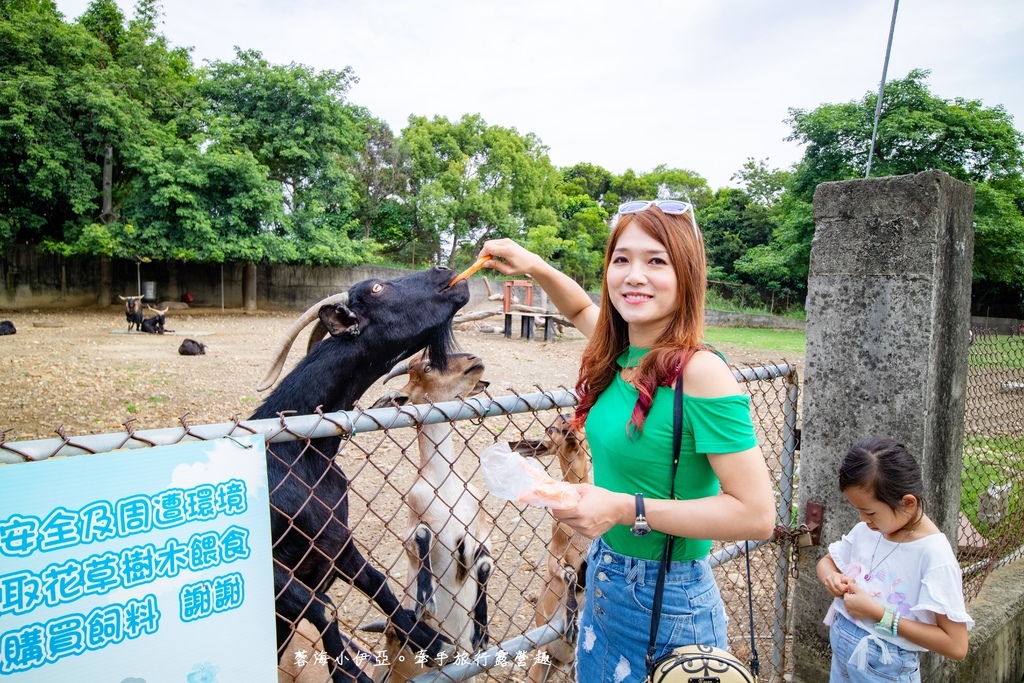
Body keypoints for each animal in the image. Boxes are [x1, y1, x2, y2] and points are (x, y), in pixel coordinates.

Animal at [251, 266, 468, 683]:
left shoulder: (336, 540)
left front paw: (430, 640)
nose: (445, 270)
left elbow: (376, 582)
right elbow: (320, 605)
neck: (300, 452)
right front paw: (351, 672)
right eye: (376, 288)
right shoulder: (269, 565)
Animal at [368, 356, 495, 679]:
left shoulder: (479, 527)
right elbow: (421, 535)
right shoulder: (414, 516)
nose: (475, 361)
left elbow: (484, 562)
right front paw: (425, 602)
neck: (445, 485)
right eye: (426, 368)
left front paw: (481, 634)